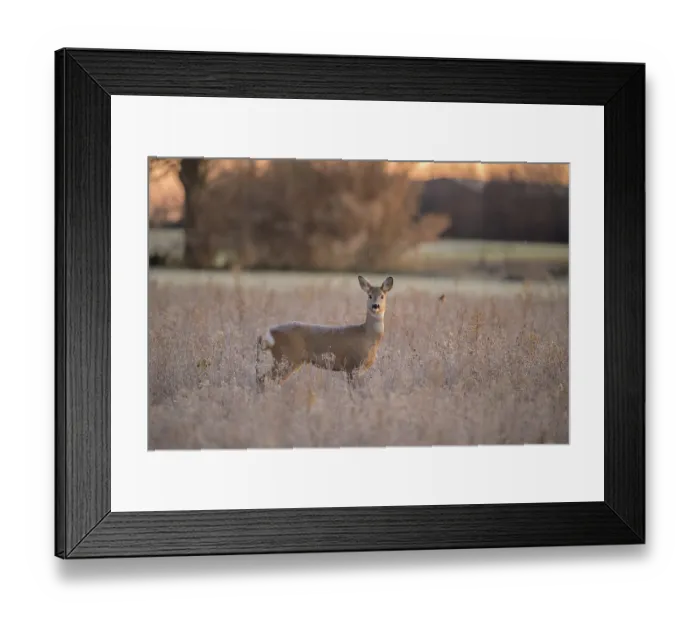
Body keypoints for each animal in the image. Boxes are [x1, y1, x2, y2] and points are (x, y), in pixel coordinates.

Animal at [255, 275, 394, 389]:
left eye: (382, 296)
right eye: (369, 295)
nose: (375, 306)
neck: (367, 335)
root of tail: (270, 333)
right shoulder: (351, 365)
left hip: (287, 360)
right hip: (286, 358)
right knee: (263, 379)